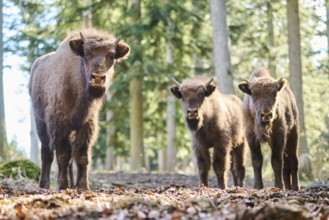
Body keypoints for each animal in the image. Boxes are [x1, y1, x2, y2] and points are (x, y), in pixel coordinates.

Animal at [28, 28, 130, 190]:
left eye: (112, 55)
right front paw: (63, 185)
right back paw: (44, 185)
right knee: (47, 153)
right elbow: (63, 155)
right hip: (40, 123)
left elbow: (82, 156)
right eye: (86, 53)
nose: (98, 78)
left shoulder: (86, 124)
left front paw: (82, 186)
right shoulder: (60, 125)